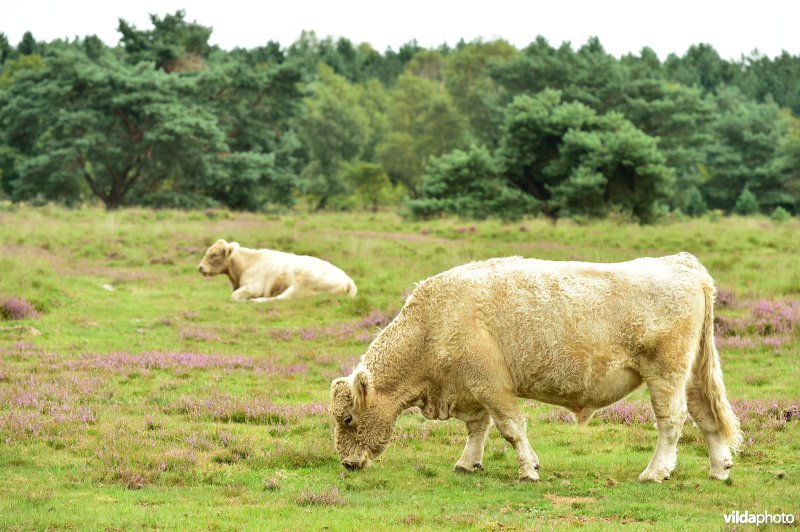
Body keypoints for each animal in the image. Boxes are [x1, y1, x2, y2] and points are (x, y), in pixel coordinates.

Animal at [198, 238, 356, 302]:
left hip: (302, 284)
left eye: (214, 254)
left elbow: (234, 296)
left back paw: (255, 300)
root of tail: (348, 280)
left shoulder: (254, 287)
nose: (200, 267)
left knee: (280, 298)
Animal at [328, 254, 740, 482]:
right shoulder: (473, 389)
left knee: (672, 421)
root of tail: (683, 264)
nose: (347, 464)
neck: (431, 325)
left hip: (665, 375)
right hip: (691, 375)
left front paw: (528, 470)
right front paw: (467, 463)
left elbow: (511, 430)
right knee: (706, 416)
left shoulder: (493, 387)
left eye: (347, 418)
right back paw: (719, 468)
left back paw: (655, 472)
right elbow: (477, 430)